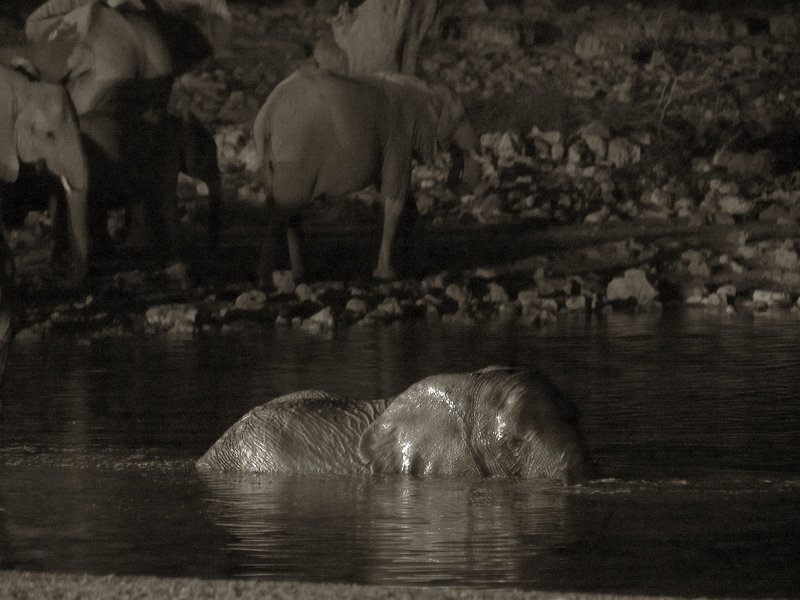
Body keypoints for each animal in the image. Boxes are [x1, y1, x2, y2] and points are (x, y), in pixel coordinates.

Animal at [252, 65, 482, 285]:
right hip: (296, 155)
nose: (454, 184)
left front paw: (417, 267)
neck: (427, 87)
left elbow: (406, 200)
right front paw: (386, 275)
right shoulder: (398, 137)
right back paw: (267, 279)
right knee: (285, 208)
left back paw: (300, 275)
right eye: (462, 118)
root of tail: (268, 113)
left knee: (289, 209)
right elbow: (394, 195)